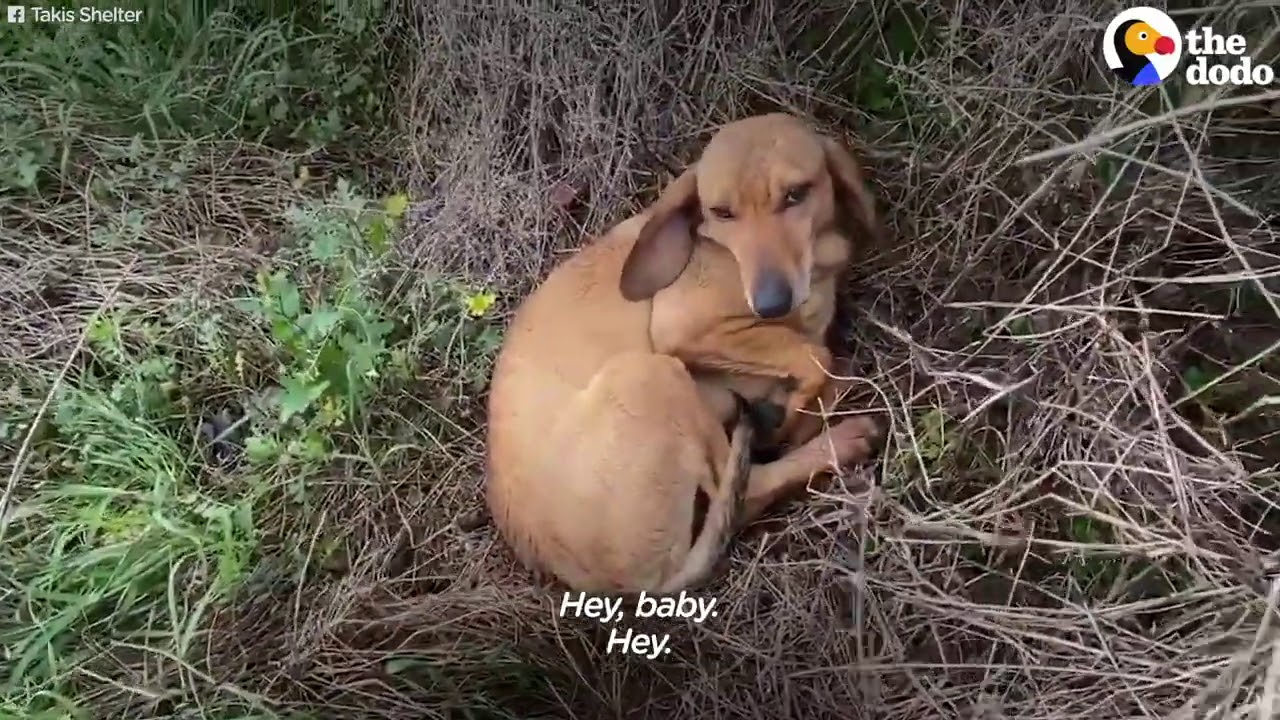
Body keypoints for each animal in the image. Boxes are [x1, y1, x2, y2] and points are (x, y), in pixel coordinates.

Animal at [483, 113, 885, 594]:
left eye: (797, 194)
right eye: (722, 212)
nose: (771, 303)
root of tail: (621, 585)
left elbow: (826, 365)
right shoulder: (681, 329)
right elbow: (817, 356)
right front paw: (797, 413)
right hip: (651, 373)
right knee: (748, 488)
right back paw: (841, 441)